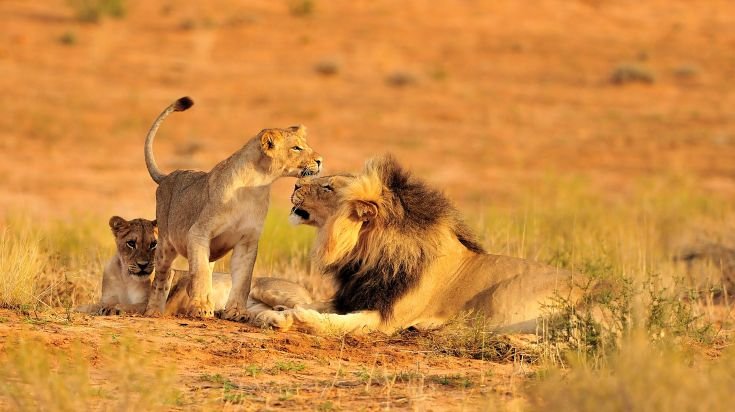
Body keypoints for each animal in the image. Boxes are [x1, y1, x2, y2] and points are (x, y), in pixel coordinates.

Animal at [141, 97, 323, 321]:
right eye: (296, 148)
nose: (320, 161)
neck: (256, 184)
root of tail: (168, 176)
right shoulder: (198, 233)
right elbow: (200, 273)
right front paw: (201, 308)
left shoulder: (247, 241)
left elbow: (243, 279)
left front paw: (236, 312)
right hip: (166, 244)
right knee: (162, 276)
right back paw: (153, 311)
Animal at [262, 156, 581, 335]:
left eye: (327, 187)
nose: (294, 186)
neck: (366, 255)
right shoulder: (355, 295)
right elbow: (318, 303)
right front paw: (279, 310)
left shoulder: (385, 318)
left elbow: (338, 322)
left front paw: (299, 317)